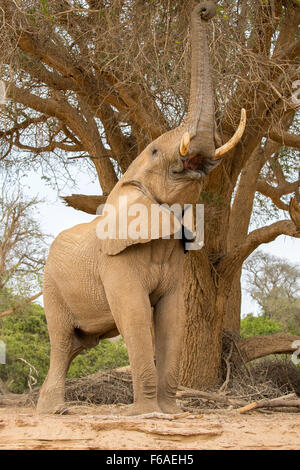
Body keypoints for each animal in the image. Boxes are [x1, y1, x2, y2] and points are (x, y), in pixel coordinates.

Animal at [36, 0, 245, 414]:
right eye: (154, 151)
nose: (206, 10)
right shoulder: (115, 262)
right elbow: (133, 316)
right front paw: (147, 412)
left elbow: (173, 316)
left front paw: (171, 413)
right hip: (51, 285)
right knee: (62, 342)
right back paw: (53, 411)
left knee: (78, 344)